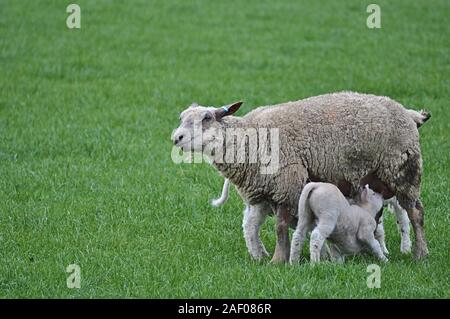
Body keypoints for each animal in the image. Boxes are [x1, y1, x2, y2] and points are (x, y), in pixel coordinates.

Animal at [171, 91, 428, 262]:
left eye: (206, 118)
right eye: (182, 117)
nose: (176, 138)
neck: (248, 137)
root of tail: (408, 113)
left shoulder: (287, 184)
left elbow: (280, 227)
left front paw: (278, 261)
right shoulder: (262, 192)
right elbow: (258, 226)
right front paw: (271, 258)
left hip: (403, 171)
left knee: (416, 213)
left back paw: (420, 253)